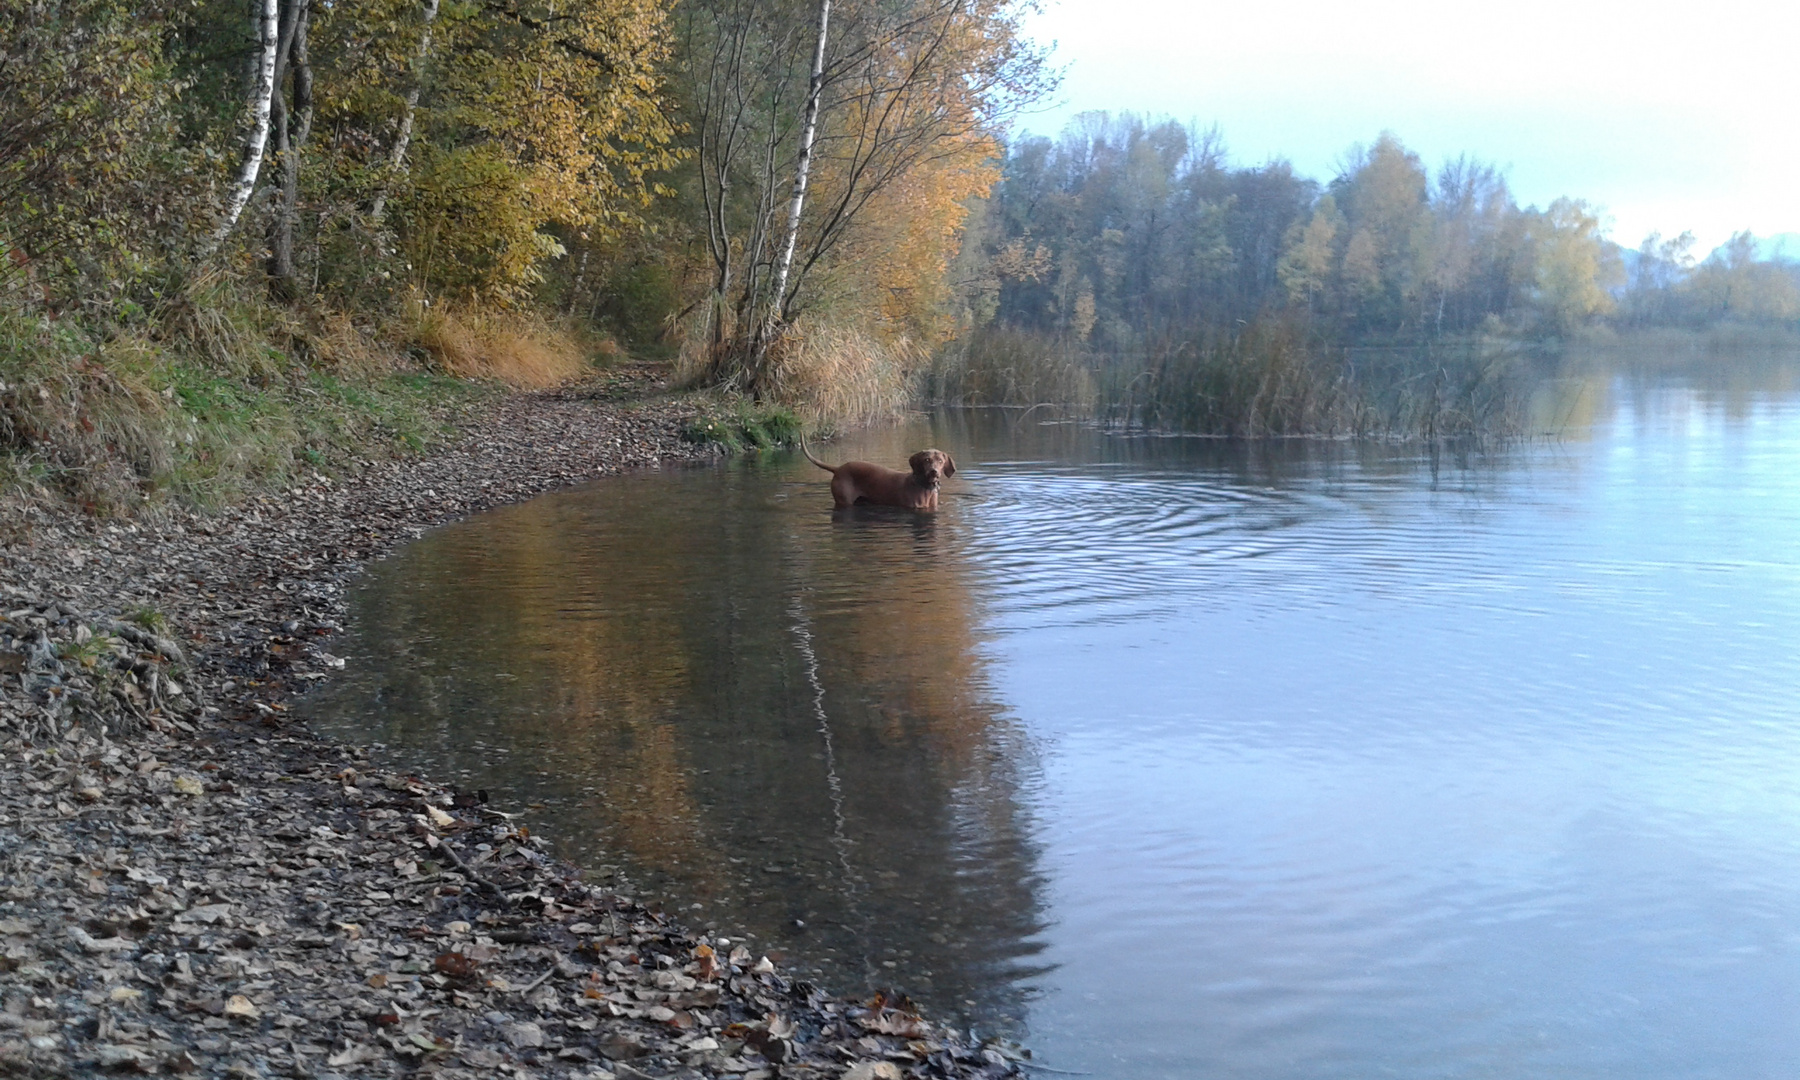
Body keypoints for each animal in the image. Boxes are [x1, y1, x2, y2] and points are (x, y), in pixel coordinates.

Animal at [802, 433, 957, 511]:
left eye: (940, 461)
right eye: (927, 460)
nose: (934, 472)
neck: (924, 487)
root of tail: (838, 468)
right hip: (844, 500)